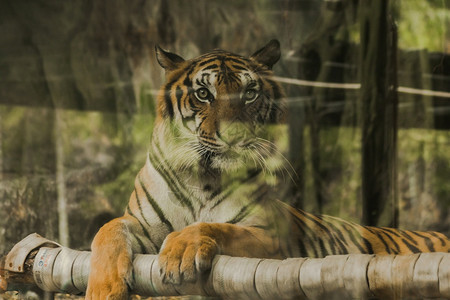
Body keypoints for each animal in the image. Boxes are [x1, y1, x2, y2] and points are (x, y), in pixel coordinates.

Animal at [85, 40, 450, 300]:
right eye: (203, 93)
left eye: (249, 93)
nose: (233, 135)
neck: (202, 177)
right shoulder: (141, 223)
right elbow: (107, 229)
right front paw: (103, 289)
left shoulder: (270, 235)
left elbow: (213, 227)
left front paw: (180, 252)